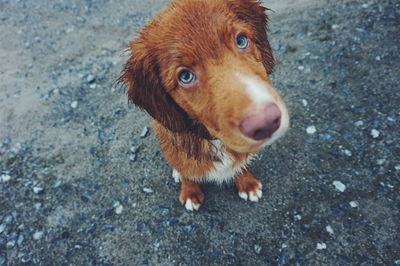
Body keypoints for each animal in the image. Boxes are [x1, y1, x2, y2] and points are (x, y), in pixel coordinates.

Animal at [118, 0, 288, 212]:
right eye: (185, 77)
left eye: (241, 41)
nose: (266, 122)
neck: (214, 141)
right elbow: (186, 171)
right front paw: (190, 192)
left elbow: (241, 163)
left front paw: (247, 182)